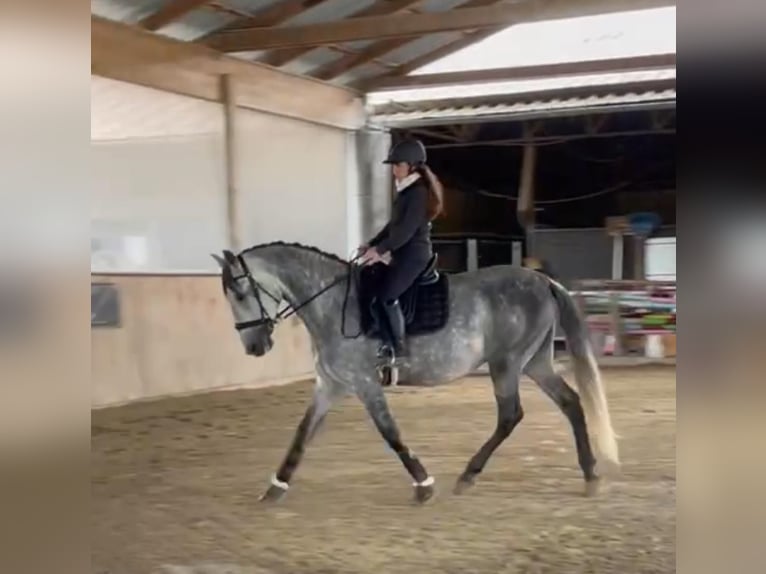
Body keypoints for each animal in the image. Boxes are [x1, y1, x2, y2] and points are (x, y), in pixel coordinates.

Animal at [211, 241, 619, 504]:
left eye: (241, 293)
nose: (254, 346)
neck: (332, 305)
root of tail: (543, 281)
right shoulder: (330, 384)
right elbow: (302, 432)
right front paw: (276, 486)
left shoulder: (364, 382)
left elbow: (390, 432)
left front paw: (424, 484)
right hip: (535, 362)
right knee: (571, 403)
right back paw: (591, 476)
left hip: (507, 363)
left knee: (510, 415)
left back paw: (468, 476)